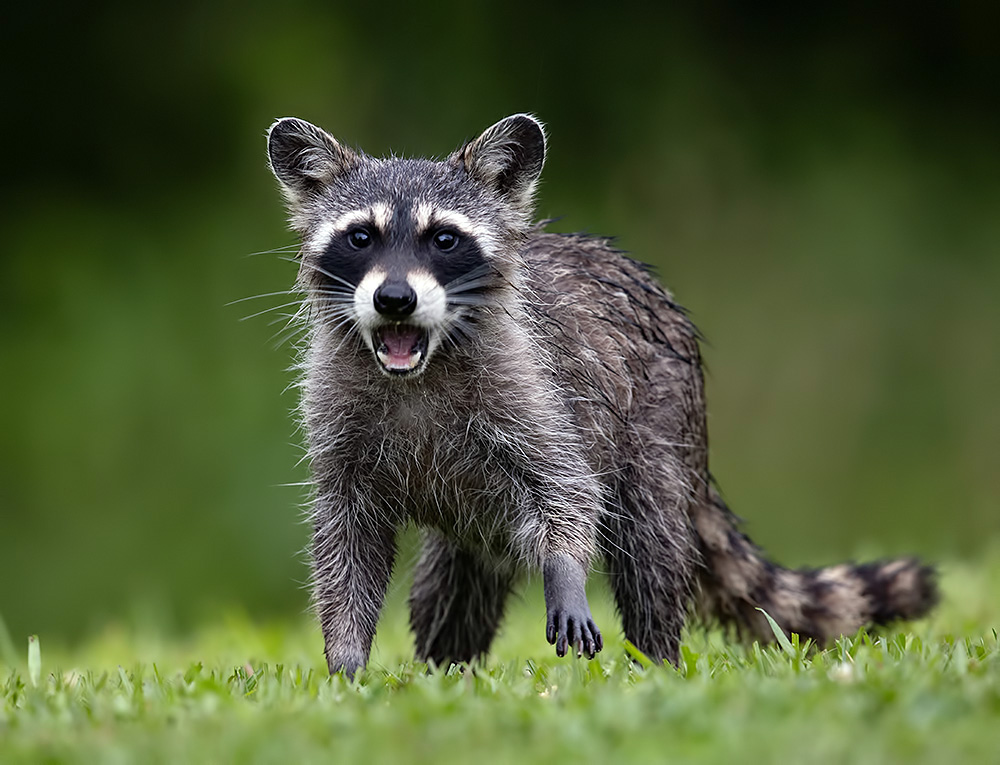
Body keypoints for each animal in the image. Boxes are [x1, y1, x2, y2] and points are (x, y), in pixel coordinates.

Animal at [265, 114, 938, 678]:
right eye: (360, 237)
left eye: (444, 239)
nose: (395, 300)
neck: (418, 369)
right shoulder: (337, 421)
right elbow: (345, 545)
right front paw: (346, 656)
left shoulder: (535, 387)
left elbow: (567, 491)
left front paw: (565, 573)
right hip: (473, 528)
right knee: (452, 588)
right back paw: (445, 668)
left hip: (659, 429)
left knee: (650, 549)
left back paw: (656, 659)